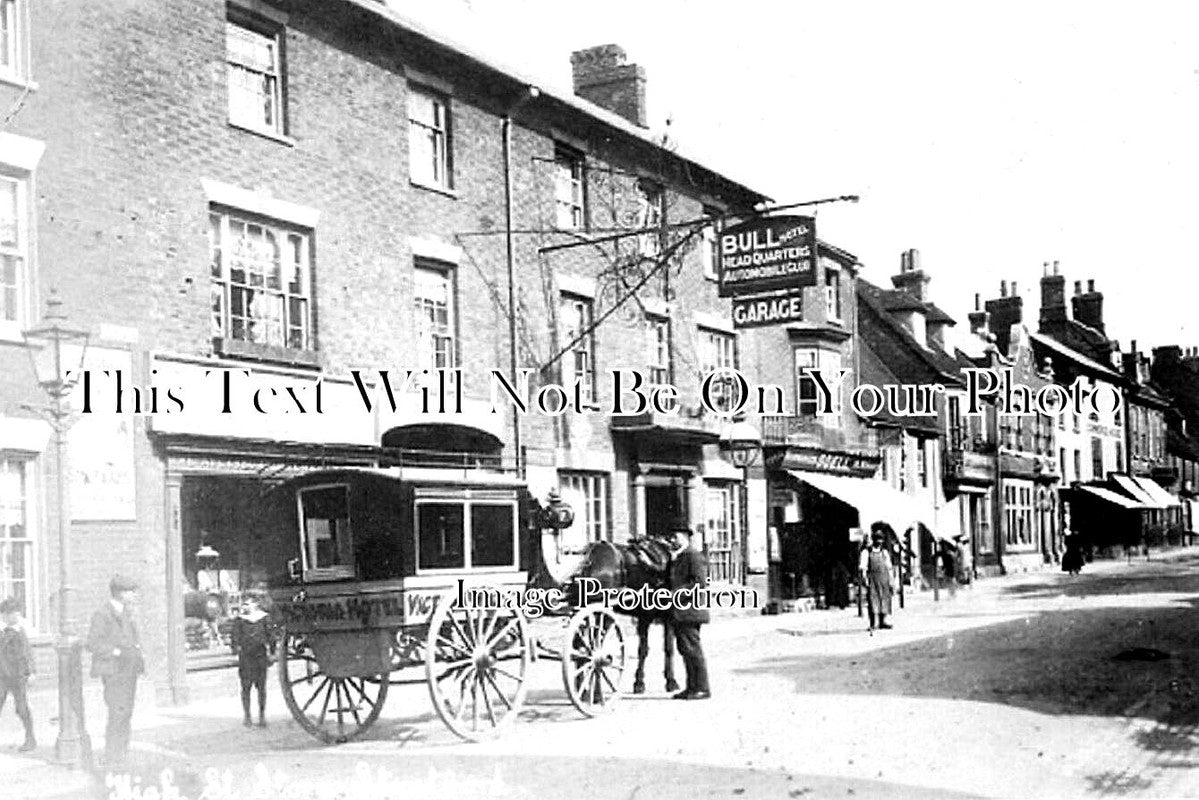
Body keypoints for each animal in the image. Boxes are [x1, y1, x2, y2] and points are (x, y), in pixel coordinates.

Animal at [563, 537, 681, 695]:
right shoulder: (659, 616)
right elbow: (664, 649)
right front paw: (669, 681)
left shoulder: (646, 617)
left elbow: (647, 649)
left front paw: (640, 682)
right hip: (604, 613)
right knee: (593, 648)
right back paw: (595, 691)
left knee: (579, 647)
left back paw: (583, 688)